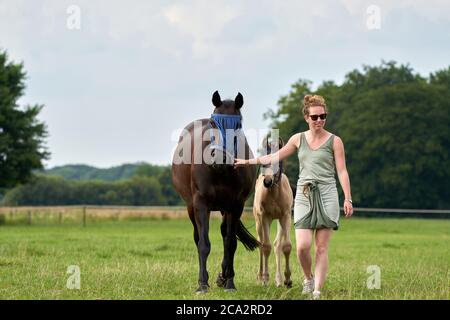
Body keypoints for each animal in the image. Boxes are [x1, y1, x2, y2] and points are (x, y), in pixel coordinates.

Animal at [171, 90, 258, 292]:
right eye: (213, 123)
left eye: (238, 124)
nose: (220, 157)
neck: (220, 171)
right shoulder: (201, 204)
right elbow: (204, 244)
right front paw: (202, 284)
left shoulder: (236, 206)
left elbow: (231, 243)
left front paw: (229, 282)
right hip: (191, 207)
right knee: (197, 238)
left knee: (225, 234)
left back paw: (223, 276)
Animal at [253, 138, 292, 288]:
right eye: (263, 162)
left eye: (277, 161)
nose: (267, 181)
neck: (274, 193)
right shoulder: (265, 217)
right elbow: (266, 247)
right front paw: (265, 279)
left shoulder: (286, 216)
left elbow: (286, 246)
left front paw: (287, 279)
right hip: (259, 222)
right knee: (261, 243)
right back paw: (261, 276)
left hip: (279, 221)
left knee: (277, 245)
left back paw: (279, 280)